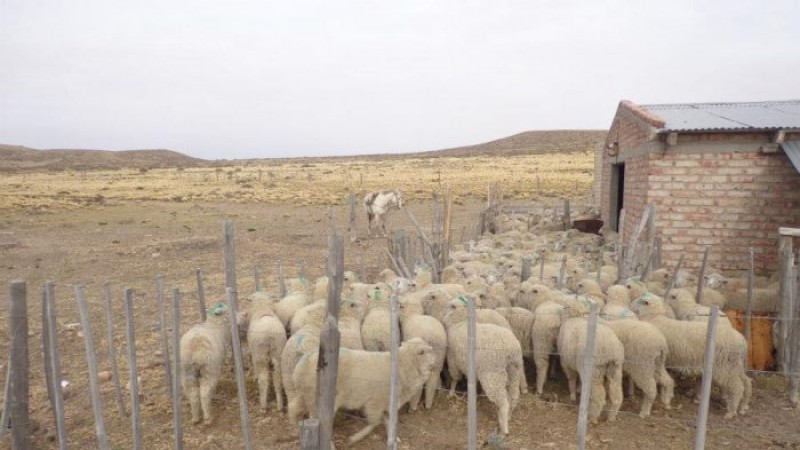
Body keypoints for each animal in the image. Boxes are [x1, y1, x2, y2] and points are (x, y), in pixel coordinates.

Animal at [290, 338, 438, 442]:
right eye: (424, 352)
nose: (435, 365)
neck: (402, 368)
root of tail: (302, 364)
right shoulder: (374, 404)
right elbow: (374, 423)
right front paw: (356, 437)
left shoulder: (384, 405)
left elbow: (387, 422)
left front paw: (394, 439)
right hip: (318, 401)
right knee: (321, 425)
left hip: (304, 395)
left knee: (293, 408)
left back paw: (294, 427)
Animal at [440, 300, 520, 434]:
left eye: (450, 307)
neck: (460, 322)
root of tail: (511, 347)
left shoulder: (453, 359)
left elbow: (455, 378)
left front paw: (451, 392)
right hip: (513, 370)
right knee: (513, 395)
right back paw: (509, 416)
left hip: (492, 374)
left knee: (503, 402)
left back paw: (503, 427)